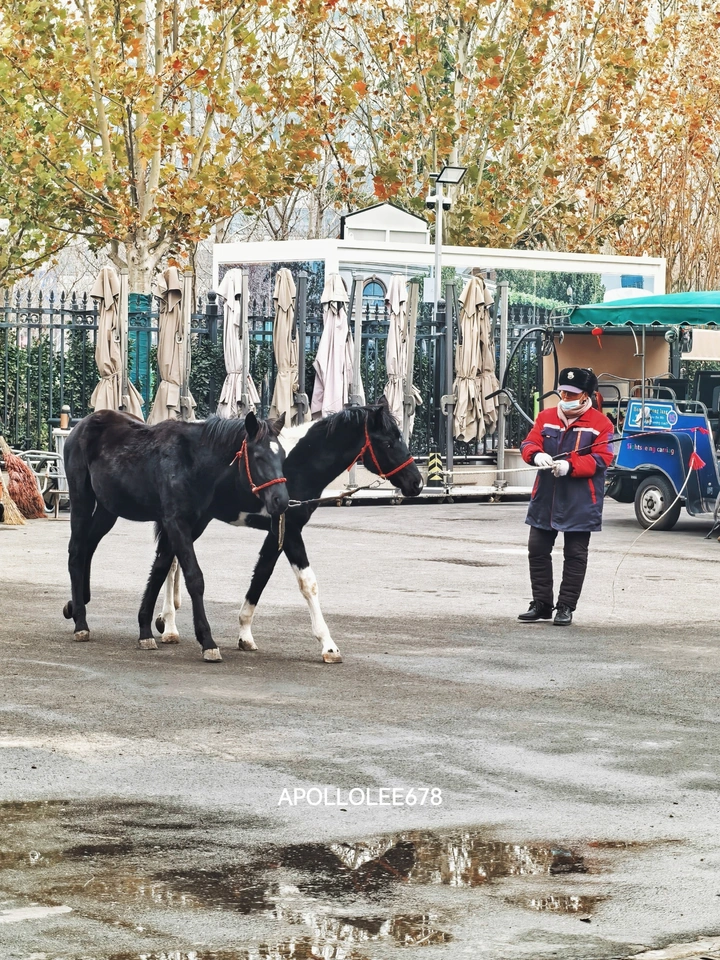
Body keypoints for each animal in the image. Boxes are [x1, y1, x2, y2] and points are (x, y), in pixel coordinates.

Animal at [62, 409, 288, 662]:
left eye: (283, 457)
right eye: (258, 456)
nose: (281, 501)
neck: (192, 462)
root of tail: (81, 425)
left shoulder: (192, 524)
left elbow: (159, 571)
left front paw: (145, 631)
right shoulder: (175, 522)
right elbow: (194, 577)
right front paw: (207, 641)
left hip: (107, 509)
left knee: (89, 546)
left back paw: (77, 605)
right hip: (81, 498)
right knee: (77, 551)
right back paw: (80, 623)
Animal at [142, 398, 423, 662]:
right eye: (388, 443)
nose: (417, 483)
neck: (298, 464)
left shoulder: (277, 532)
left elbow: (262, 575)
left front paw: (245, 634)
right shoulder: (291, 532)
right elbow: (307, 583)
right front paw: (328, 645)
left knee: (171, 562)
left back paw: (165, 623)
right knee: (172, 564)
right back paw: (169, 626)